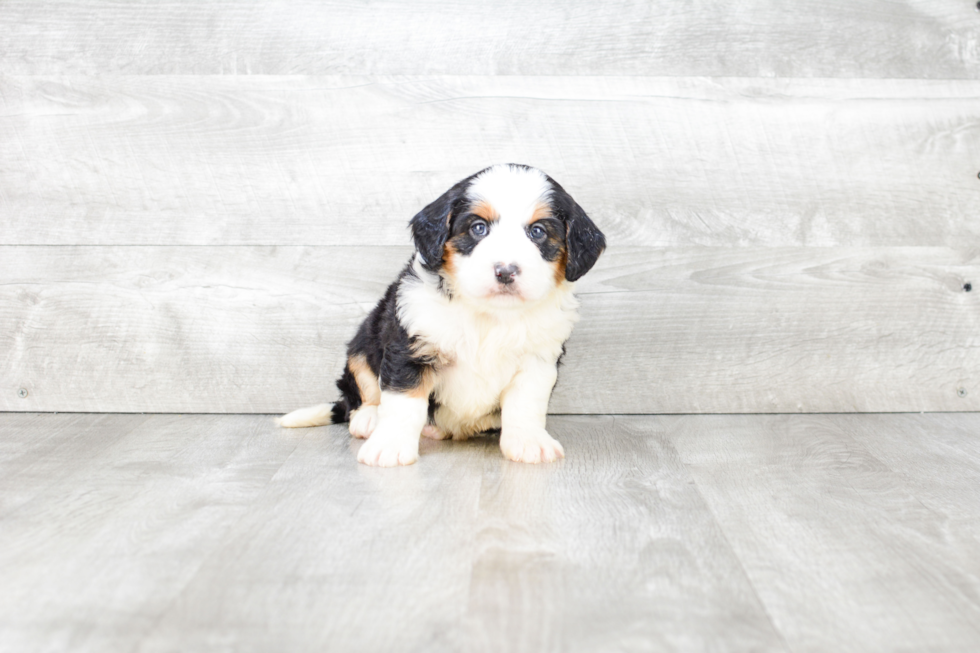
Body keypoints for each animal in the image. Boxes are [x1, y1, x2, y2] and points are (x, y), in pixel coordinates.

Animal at [276, 166, 608, 466]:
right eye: (478, 228)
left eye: (537, 232)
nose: (505, 271)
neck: (488, 315)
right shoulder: (410, 347)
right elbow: (402, 403)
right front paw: (390, 446)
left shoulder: (537, 359)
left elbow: (526, 405)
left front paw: (529, 443)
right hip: (363, 341)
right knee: (360, 392)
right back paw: (369, 419)